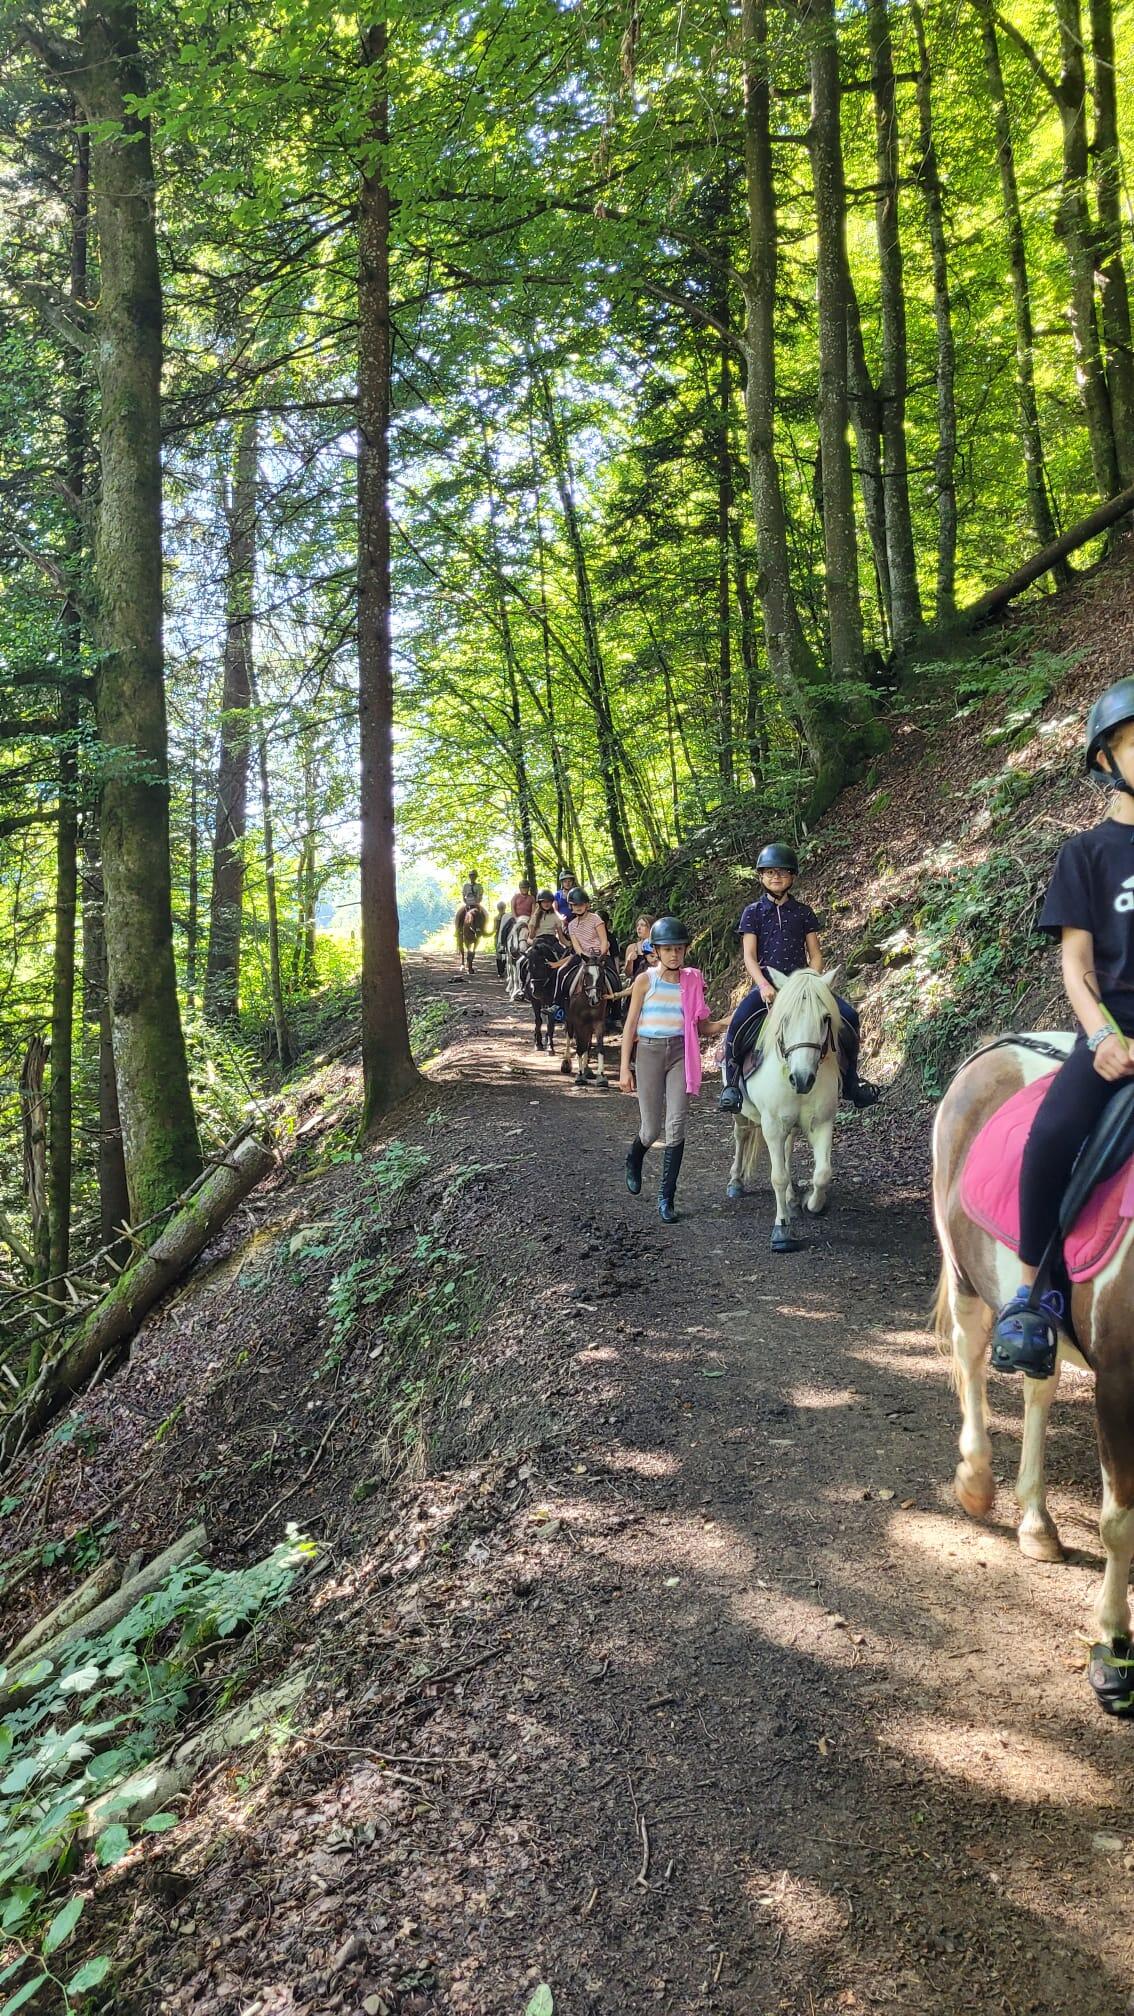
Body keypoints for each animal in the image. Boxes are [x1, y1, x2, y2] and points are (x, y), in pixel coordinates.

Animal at [725, 967, 842, 1252]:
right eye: (785, 1018)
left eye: (825, 1018)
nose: (802, 1079)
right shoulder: (772, 1125)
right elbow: (777, 1176)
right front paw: (782, 1230)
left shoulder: (822, 1122)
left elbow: (823, 1173)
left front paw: (811, 1202)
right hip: (739, 1111)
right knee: (741, 1135)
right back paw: (735, 1182)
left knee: (788, 1150)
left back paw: (792, 1199)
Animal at [931, 1032, 1134, 1695]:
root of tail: (994, 1048)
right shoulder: (1120, 1384)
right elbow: (1120, 1520)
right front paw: (1113, 1641)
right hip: (965, 1275)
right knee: (971, 1362)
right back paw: (976, 1481)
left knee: (1037, 1392)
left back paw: (1036, 1522)